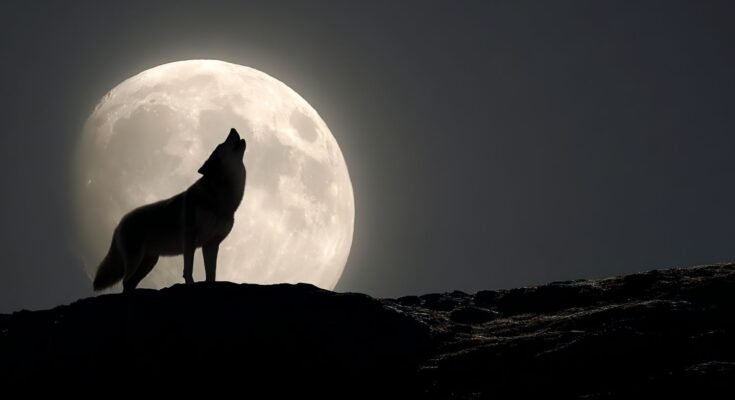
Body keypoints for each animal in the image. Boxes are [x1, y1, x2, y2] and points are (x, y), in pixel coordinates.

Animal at [93, 128, 247, 292]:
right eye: (220, 145)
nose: (233, 129)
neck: (220, 198)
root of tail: (120, 223)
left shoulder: (211, 245)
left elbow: (211, 275)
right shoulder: (189, 240)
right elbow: (188, 270)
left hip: (149, 262)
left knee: (130, 283)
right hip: (136, 260)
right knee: (126, 281)